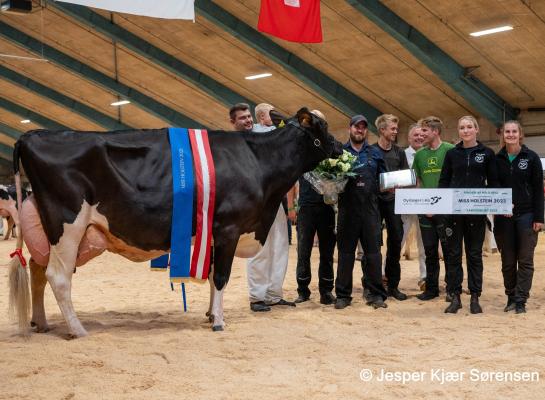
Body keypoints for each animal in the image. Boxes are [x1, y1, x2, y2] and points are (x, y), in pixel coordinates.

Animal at [7, 108, 340, 336]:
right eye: (323, 126)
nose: (341, 148)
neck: (257, 159)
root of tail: (31, 135)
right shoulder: (229, 228)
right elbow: (221, 276)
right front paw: (219, 322)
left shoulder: (212, 233)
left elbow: (211, 275)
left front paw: (210, 314)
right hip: (68, 225)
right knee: (58, 277)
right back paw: (77, 329)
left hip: (48, 227)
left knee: (37, 270)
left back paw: (42, 322)